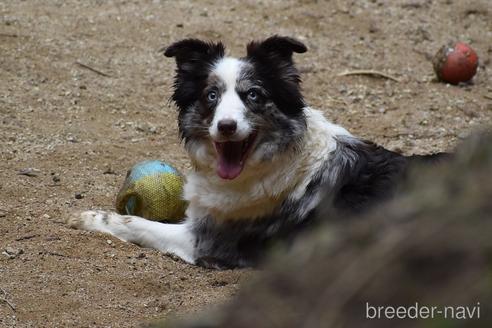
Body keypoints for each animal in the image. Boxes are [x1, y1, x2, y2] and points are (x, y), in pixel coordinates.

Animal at [68, 36, 446, 270]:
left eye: (253, 95)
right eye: (211, 95)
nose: (226, 126)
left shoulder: (205, 241)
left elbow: (137, 223)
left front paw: (89, 218)